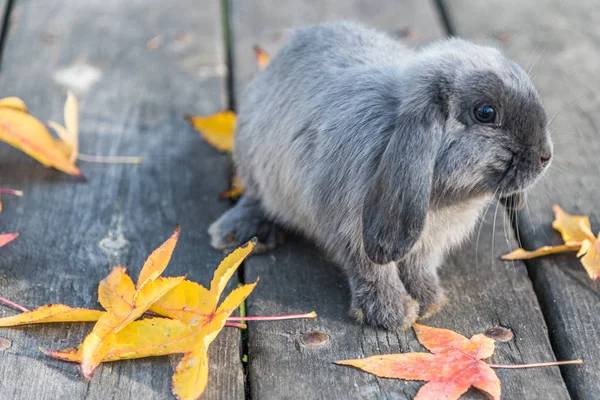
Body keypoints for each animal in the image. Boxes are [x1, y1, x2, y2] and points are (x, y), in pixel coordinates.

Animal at [207, 23, 552, 332]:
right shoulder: (354, 232)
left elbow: (419, 267)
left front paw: (428, 301)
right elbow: (373, 272)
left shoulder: (424, 244)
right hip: (254, 160)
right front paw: (393, 314)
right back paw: (239, 233)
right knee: (256, 196)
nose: (545, 157)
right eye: (486, 113)